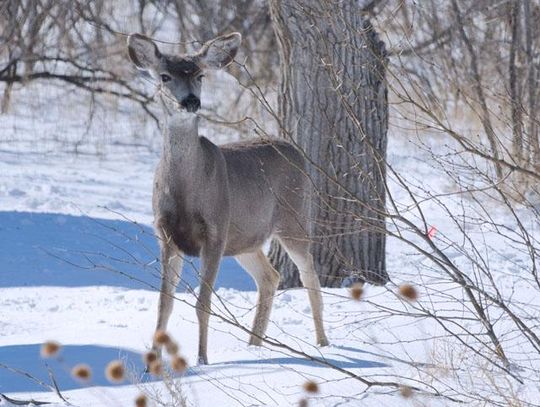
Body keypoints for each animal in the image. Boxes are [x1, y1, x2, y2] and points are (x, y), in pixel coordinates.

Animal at [127, 31, 330, 364]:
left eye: (200, 75)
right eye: (165, 76)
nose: (191, 101)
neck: (186, 192)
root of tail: (295, 149)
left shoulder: (215, 230)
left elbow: (203, 303)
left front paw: (202, 360)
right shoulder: (165, 234)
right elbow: (163, 304)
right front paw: (151, 362)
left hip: (295, 216)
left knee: (308, 274)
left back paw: (322, 342)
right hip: (246, 239)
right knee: (270, 277)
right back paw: (253, 346)